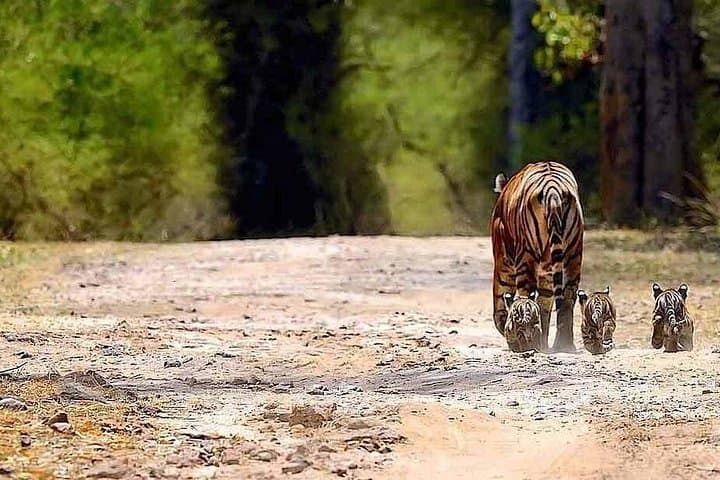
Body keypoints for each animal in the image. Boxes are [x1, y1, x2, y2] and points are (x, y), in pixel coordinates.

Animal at [491, 161, 584, 352]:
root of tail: (553, 190)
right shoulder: (547, 274)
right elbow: (545, 306)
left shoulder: (502, 259)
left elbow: (500, 298)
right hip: (574, 254)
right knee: (567, 298)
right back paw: (563, 345)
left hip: (524, 257)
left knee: (525, 298)